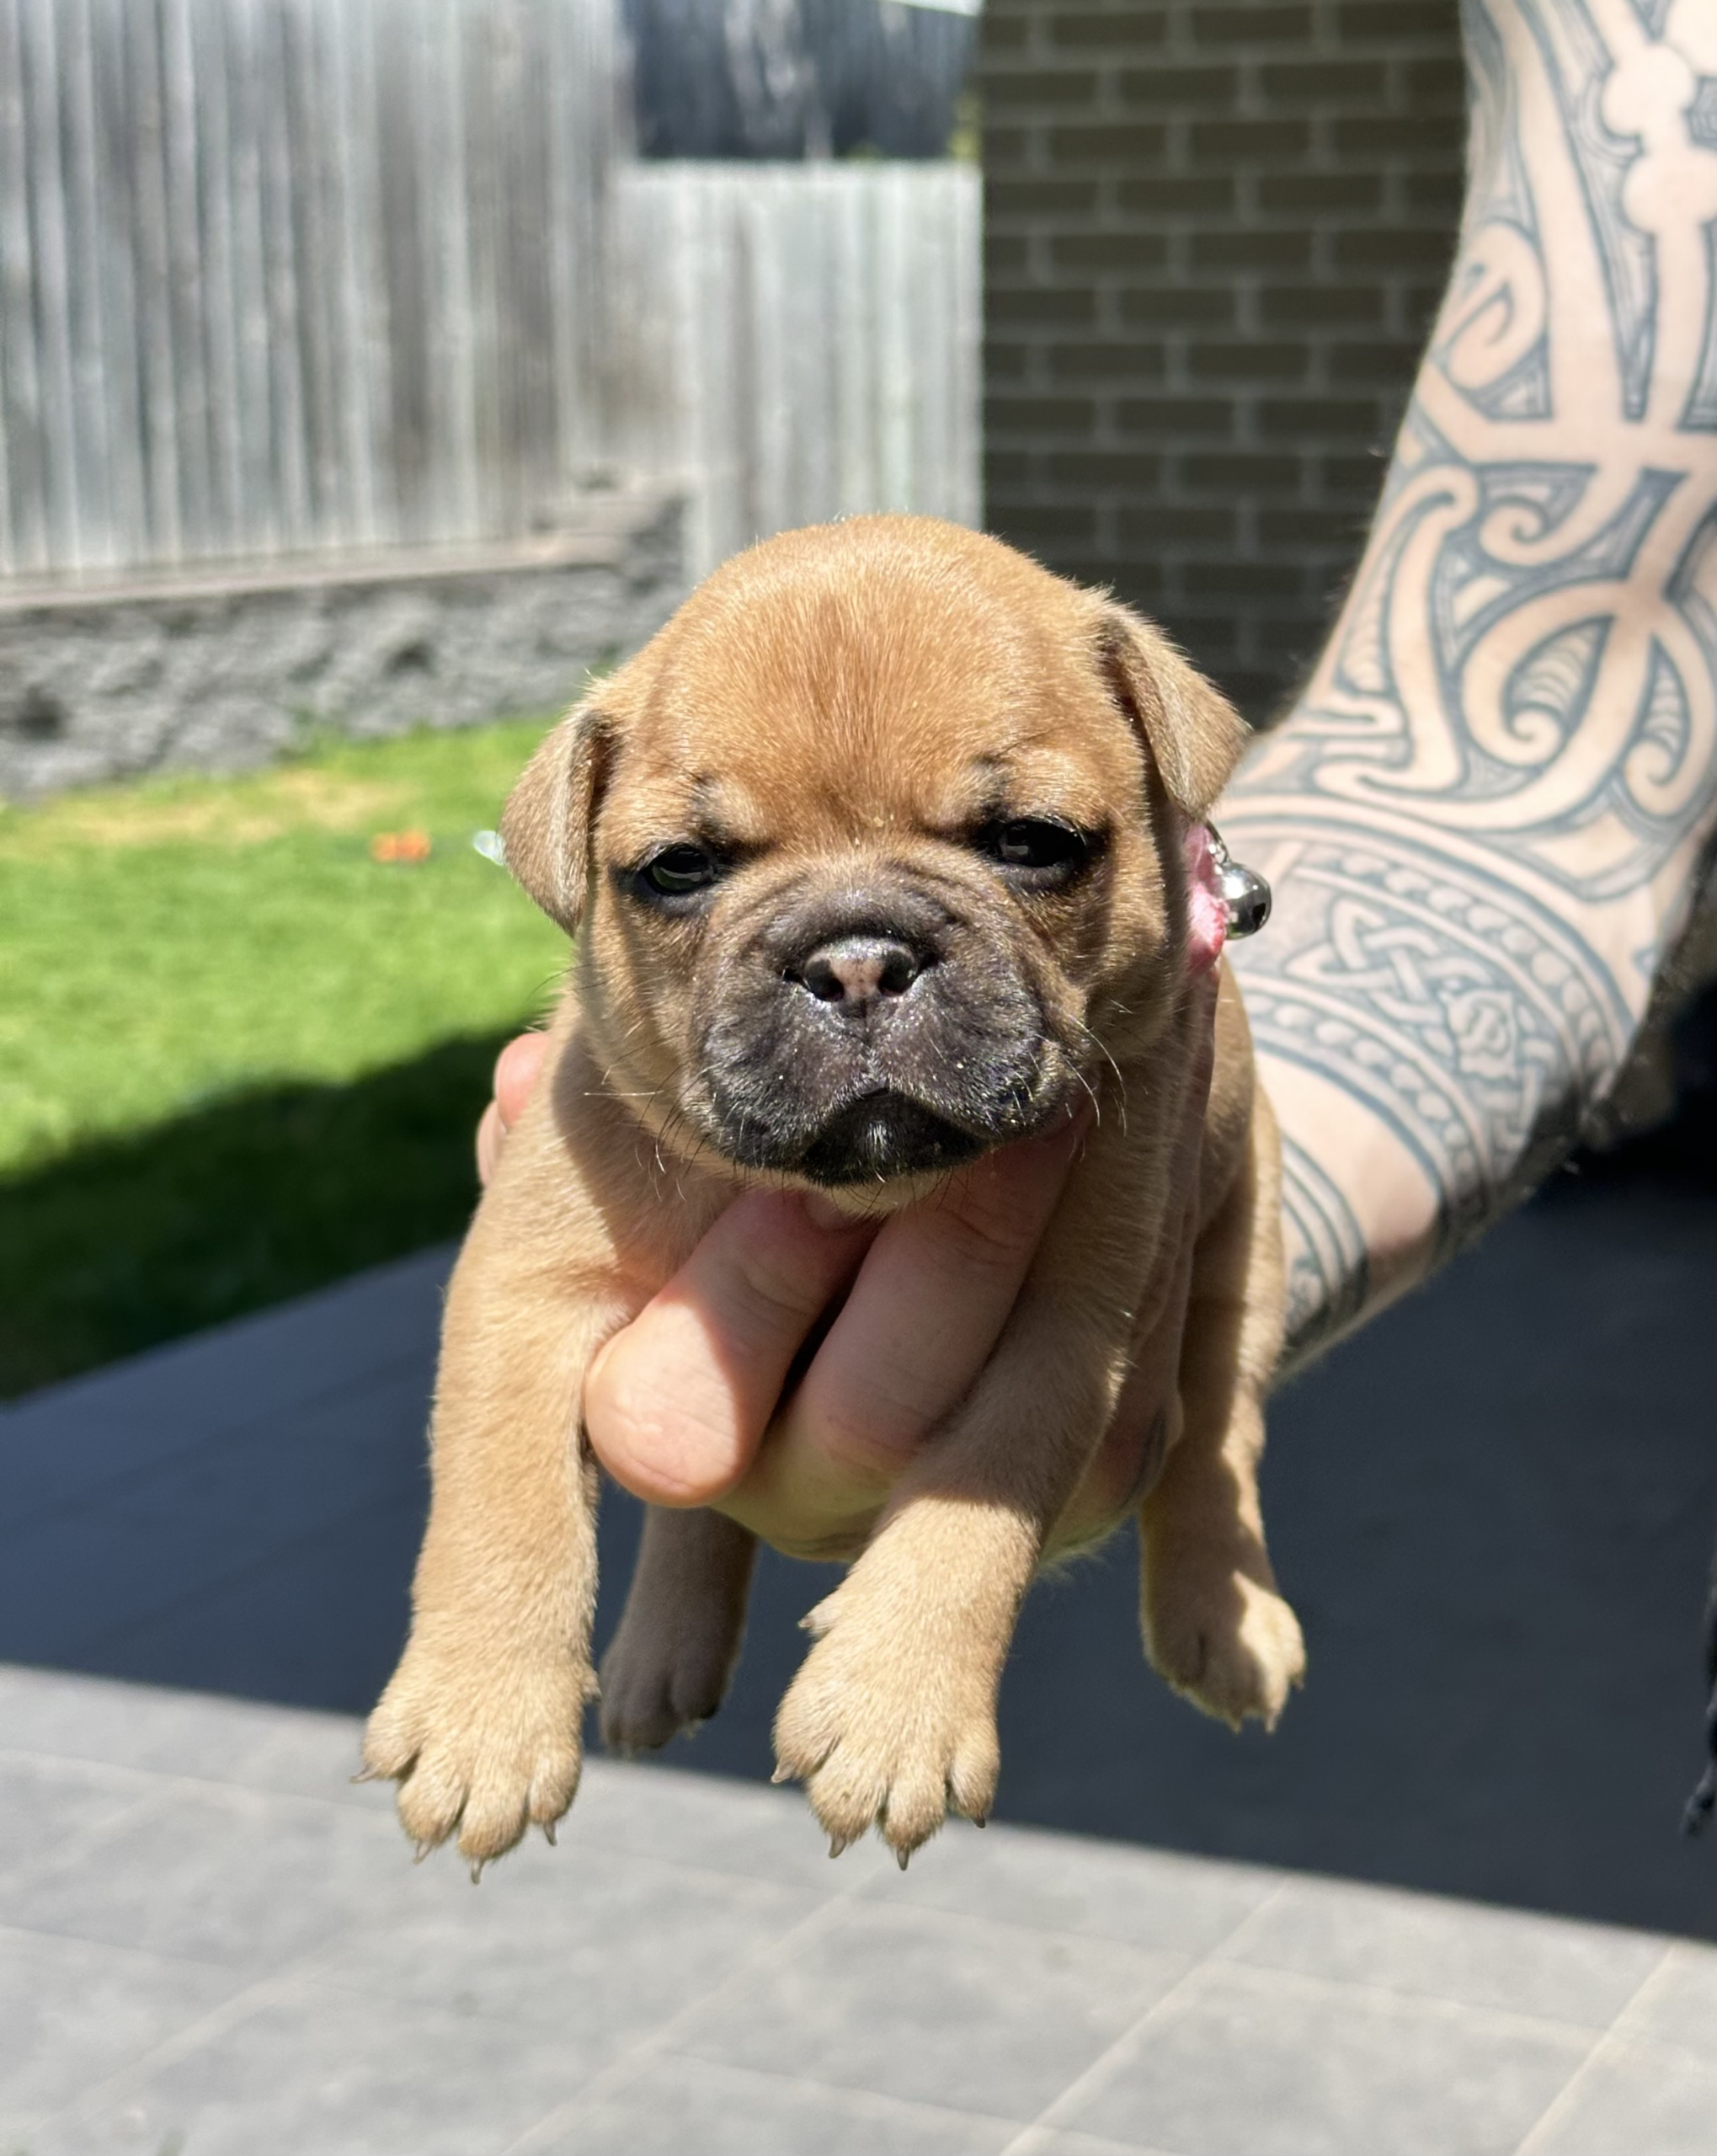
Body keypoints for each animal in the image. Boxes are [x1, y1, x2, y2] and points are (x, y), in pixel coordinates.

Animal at [363, 515, 1305, 1869]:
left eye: (1033, 843)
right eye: (677, 870)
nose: (856, 959)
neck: (868, 1194)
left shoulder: (1072, 1328)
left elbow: (977, 1494)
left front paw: (894, 1708)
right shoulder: (522, 1284)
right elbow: (502, 1499)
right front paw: (481, 1718)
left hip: (1244, 1252)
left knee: (1216, 1444)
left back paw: (1221, 1625)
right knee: (687, 1504)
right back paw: (658, 1658)